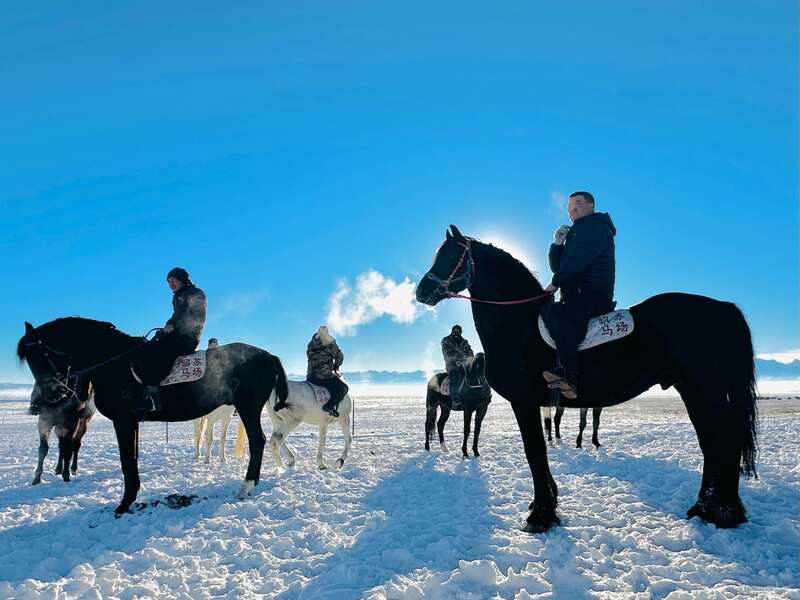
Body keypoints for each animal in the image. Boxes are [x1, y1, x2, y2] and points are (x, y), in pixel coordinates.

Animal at [16, 316, 288, 512]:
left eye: (41, 354)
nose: (49, 395)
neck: (113, 363)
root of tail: (269, 355)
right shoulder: (132, 423)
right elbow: (132, 459)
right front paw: (131, 497)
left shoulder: (123, 421)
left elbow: (126, 461)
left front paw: (124, 504)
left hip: (248, 408)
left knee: (257, 441)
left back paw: (246, 487)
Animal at [416, 227, 760, 532]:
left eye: (450, 255)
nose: (422, 292)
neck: (518, 323)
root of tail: (722, 308)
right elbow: (539, 451)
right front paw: (545, 505)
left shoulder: (524, 402)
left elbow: (534, 451)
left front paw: (541, 516)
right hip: (696, 391)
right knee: (712, 443)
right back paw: (705, 508)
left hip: (703, 390)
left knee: (721, 443)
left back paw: (723, 512)